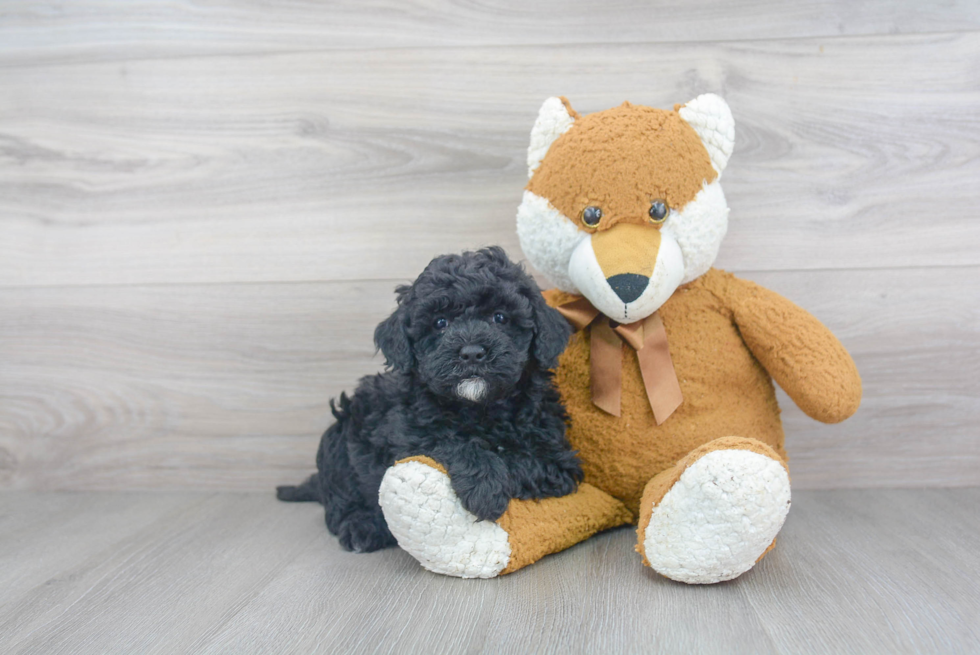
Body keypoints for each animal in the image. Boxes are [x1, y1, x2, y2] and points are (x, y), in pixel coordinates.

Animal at [276, 246, 580, 552]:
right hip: (341, 436)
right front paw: (485, 487)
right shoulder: (406, 433)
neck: (479, 408)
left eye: (500, 317)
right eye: (440, 322)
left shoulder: (558, 460)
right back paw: (362, 527)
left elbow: (523, 458)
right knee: (340, 500)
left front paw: (489, 482)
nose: (472, 352)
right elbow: (446, 441)